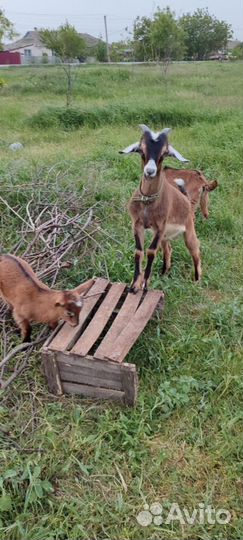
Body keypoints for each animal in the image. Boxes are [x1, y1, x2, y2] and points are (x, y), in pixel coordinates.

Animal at [119, 124, 201, 294]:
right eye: (141, 149)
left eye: (164, 153)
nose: (150, 171)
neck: (148, 202)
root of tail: (186, 200)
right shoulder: (137, 224)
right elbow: (139, 251)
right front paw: (134, 285)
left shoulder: (160, 227)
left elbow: (151, 251)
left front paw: (145, 285)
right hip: (165, 235)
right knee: (168, 249)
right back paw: (164, 273)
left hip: (188, 230)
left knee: (195, 249)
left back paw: (197, 280)